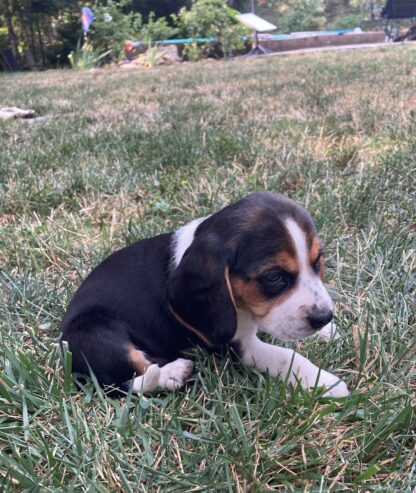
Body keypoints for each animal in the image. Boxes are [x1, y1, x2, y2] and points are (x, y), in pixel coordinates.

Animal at [60, 192, 350, 396]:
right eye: (273, 277)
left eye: (317, 262)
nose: (323, 317)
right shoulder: (234, 344)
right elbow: (287, 356)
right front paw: (326, 382)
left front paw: (328, 331)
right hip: (94, 332)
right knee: (126, 380)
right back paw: (172, 373)